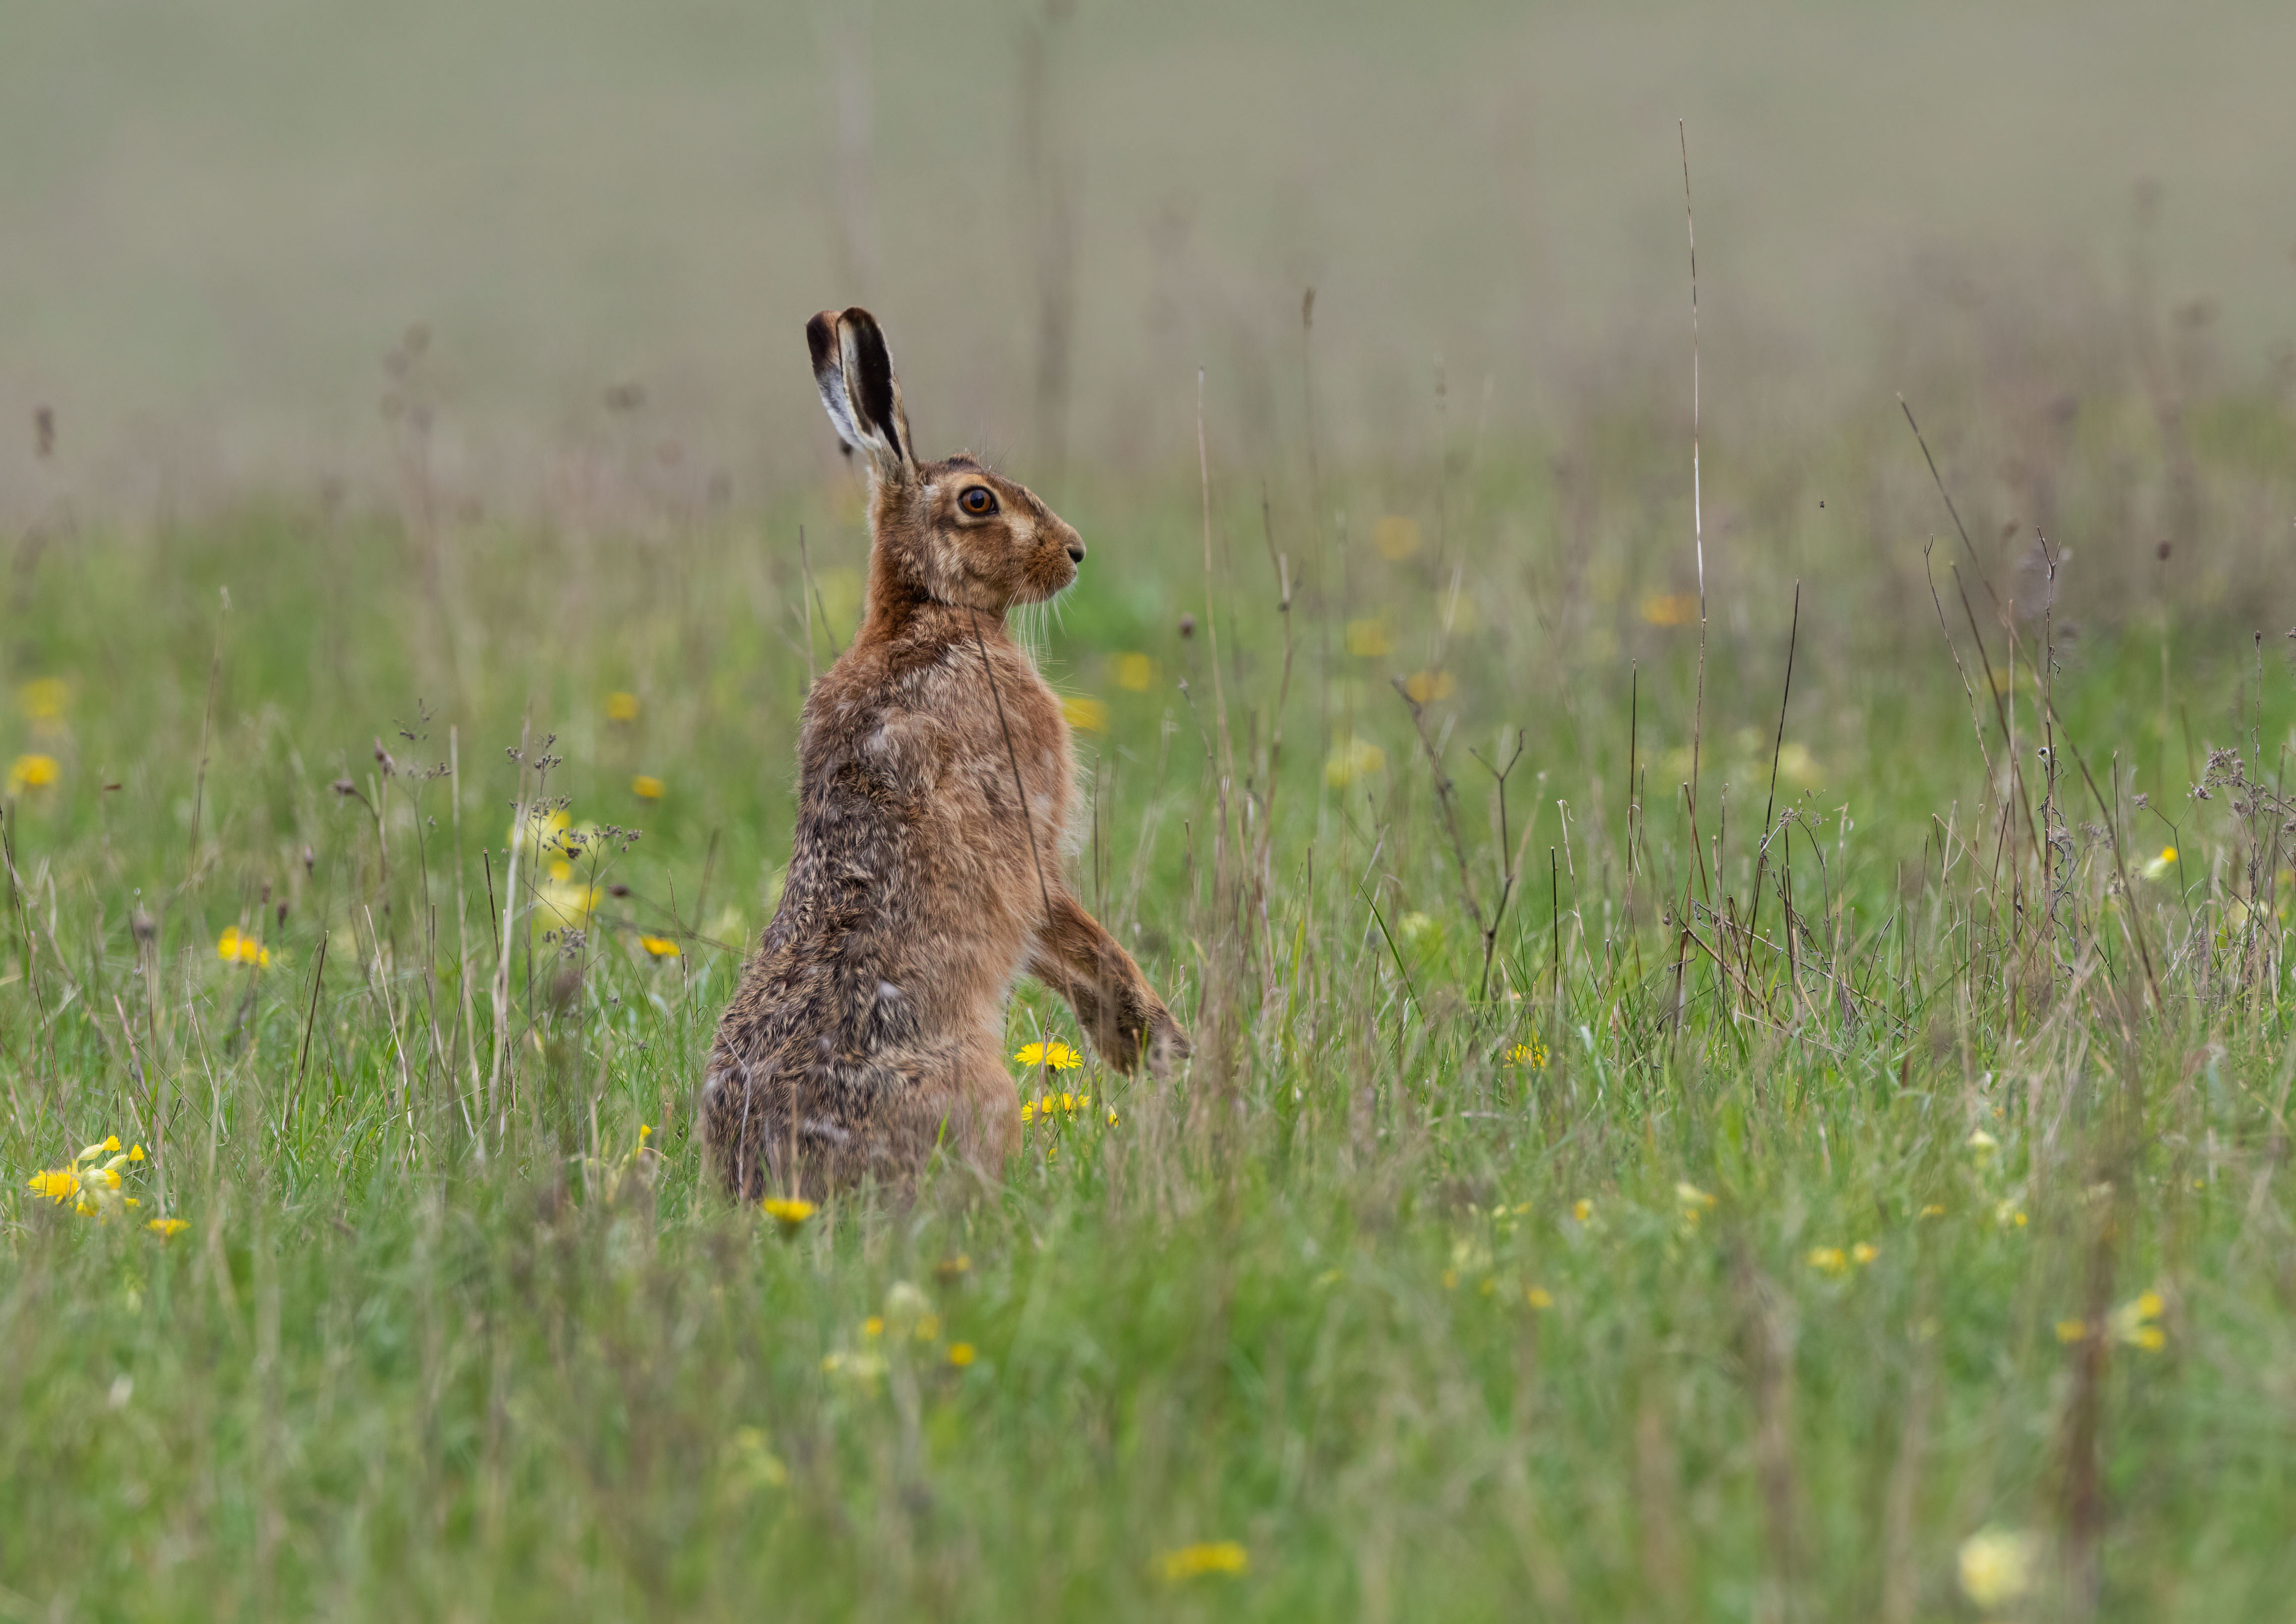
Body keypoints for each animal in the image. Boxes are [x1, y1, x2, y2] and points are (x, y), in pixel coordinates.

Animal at [703, 307, 1190, 1201]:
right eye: (978, 501)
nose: (1075, 550)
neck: (929, 612)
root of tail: (776, 1182)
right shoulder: (1033, 844)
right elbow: (1075, 933)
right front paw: (1151, 1039)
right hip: (982, 1089)